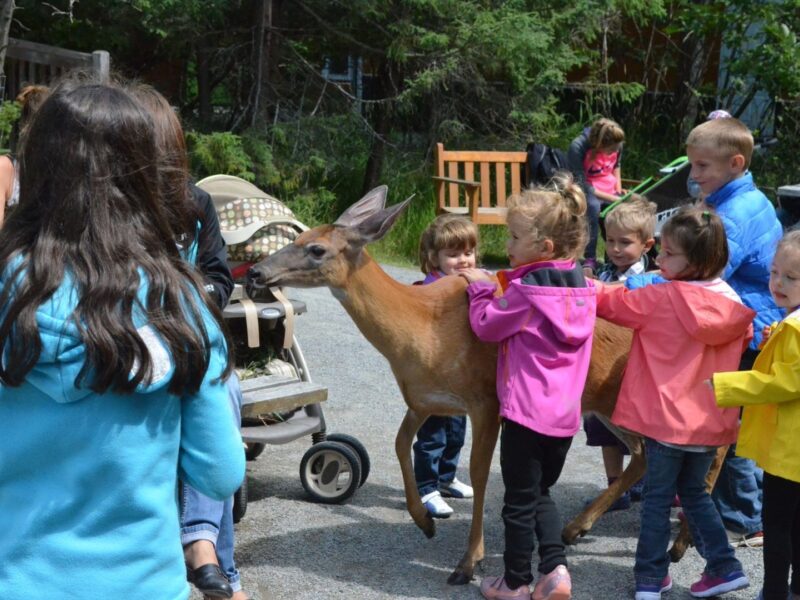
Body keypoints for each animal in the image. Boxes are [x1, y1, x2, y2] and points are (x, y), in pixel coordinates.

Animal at [248, 186, 708, 580]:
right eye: (301, 233)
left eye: (316, 249)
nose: (255, 271)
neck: (421, 330)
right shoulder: (425, 400)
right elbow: (400, 445)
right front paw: (423, 521)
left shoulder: (486, 400)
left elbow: (480, 471)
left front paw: (470, 561)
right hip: (605, 404)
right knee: (644, 455)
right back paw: (577, 528)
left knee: (705, 453)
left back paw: (680, 543)